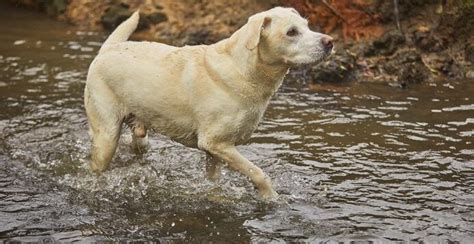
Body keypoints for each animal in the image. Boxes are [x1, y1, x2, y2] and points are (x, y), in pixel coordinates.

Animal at [84, 6, 334, 199]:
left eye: (307, 25)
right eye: (291, 32)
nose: (330, 41)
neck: (245, 70)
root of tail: (107, 49)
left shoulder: (216, 152)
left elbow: (214, 181)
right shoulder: (216, 143)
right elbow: (258, 172)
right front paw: (271, 197)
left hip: (138, 125)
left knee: (139, 143)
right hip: (106, 136)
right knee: (97, 163)